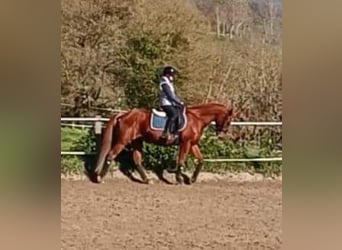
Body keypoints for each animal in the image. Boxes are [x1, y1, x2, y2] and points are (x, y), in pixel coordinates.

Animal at [93, 102, 232, 185]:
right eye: (229, 120)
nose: (221, 135)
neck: (196, 118)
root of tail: (125, 113)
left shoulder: (192, 144)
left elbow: (201, 160)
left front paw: (192, 179)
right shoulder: (185, 143)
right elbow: (181, 161)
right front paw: (179, 180)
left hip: (136, 141)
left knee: (137, 159)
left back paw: (147, 180)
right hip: (123, 141)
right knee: (110, 155)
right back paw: (99, 178)